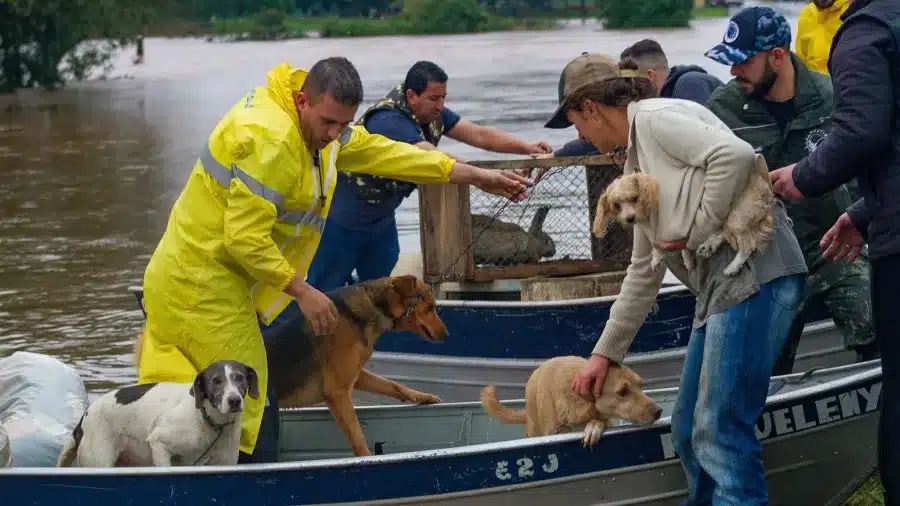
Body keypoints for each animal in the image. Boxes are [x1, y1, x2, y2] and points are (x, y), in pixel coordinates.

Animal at [132, 274, 448, 456]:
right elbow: (358, 440)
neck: (368, 309)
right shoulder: (337, 392)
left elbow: (393, 385)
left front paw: (422, 397)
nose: (447, 335)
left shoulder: (354, 378)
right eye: (431, 307)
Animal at [596, 167, 776, 276]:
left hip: (736, 217)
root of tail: (765, 188)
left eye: (634, 198)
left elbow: (674, 244)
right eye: (616, 205)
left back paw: (731, 268)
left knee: (748, 246)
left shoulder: (674, 227)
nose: (630, 218)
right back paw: (708, 246)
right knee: (722, 233)